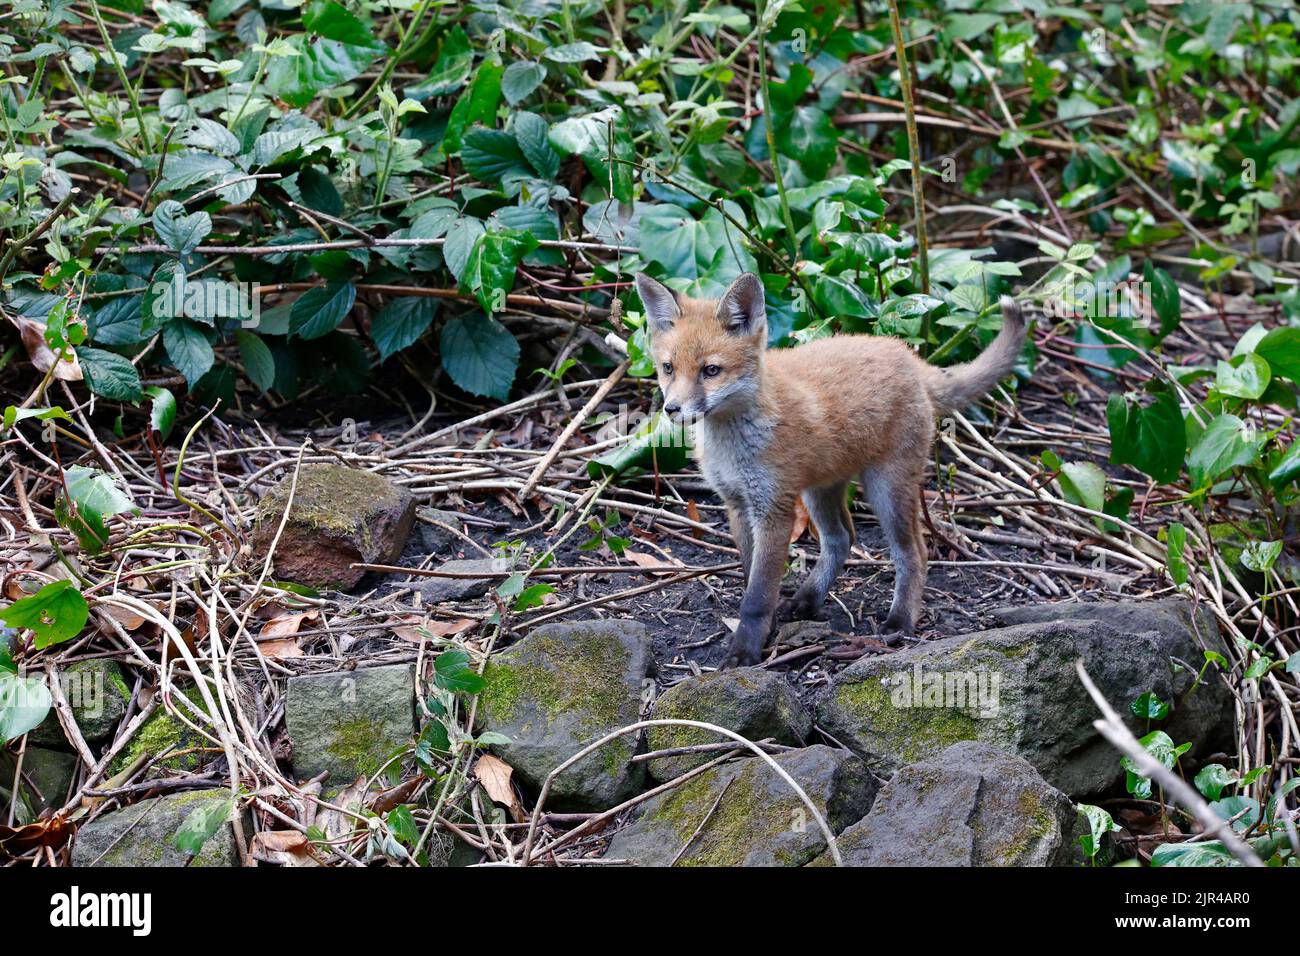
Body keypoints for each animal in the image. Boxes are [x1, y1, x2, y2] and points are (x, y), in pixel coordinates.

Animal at [634, 271, 1028, 668]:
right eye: (668, 368)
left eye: (711, 371)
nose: (672, 409)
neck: (732, 444)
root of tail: (907, 354)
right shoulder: (738, 505)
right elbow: (750, 574)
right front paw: (768, 627)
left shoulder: (774, 510)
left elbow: (758, 596)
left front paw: (745, 649)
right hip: (820, 490)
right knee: (842, 539)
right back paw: (808, 599)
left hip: (887, 490)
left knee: (914, 552)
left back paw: (900, 619)